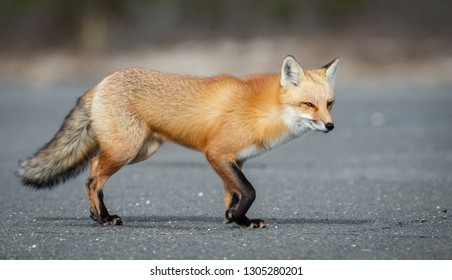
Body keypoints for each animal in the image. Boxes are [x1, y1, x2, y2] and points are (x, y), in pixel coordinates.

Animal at [19, 55, 340, 229]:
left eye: (329, 104)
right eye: (309, 104)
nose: (330, 126)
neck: (264, 111)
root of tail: (101, 82)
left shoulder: (234, 159)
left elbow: (235, 194)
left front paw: (239, 220)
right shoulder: (217, 153)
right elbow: (249, 191)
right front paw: (236, 216)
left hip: (140, 150)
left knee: (94, 166)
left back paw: (96, 213)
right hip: (125, 150)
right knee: (94, 176)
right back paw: (103, 217)